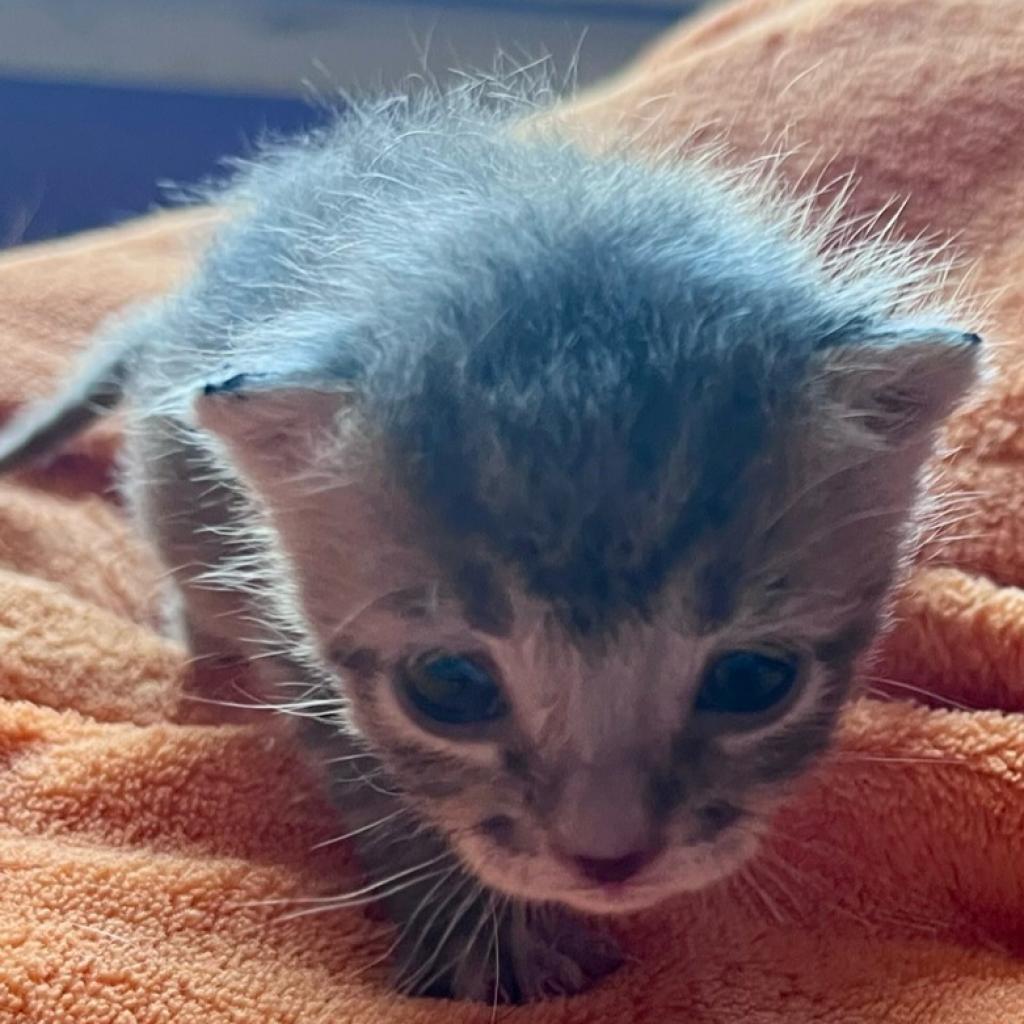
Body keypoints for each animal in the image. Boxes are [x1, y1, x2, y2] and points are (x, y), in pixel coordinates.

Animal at [0, 77, 983, 999]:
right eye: (450, 686)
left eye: (752, 680)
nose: (609, 860)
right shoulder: (295, 642)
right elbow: (373, 777)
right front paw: (480, 936)